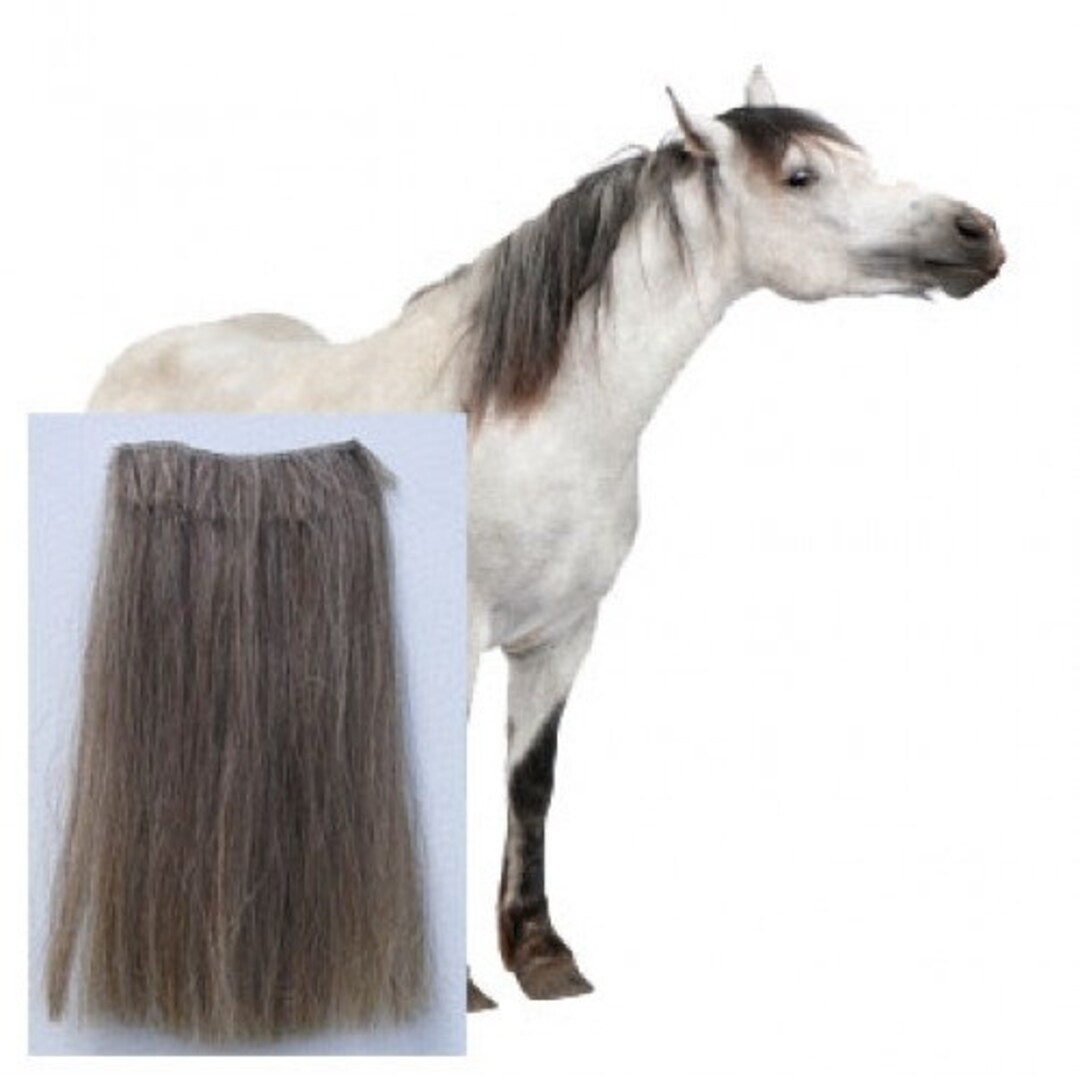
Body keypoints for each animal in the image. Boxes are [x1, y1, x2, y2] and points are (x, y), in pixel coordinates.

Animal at [89, 67, 1005, 1011]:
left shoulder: (564, 634)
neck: (527, 425)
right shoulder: (457, 632)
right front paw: (457, 987)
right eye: (800, 176)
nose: (977, 233)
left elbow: (531, 780)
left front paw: (540, 954)